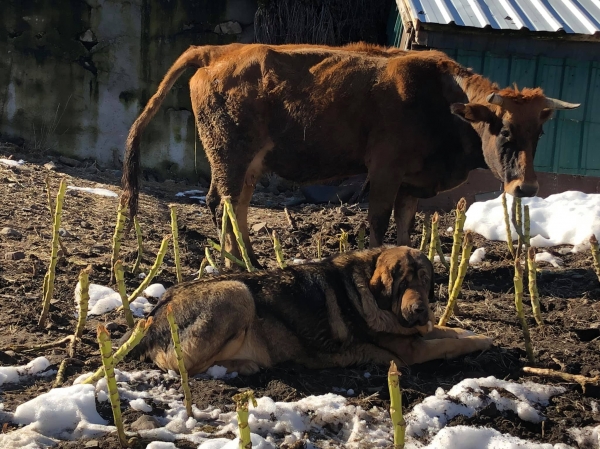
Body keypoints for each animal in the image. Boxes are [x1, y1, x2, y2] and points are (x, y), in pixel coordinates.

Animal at [120, 42, 576, 266]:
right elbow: (377, 221)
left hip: (246, 162)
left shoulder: (412, 183)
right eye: (503, 129)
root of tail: (216, 51)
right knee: (225, 204)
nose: (526, 187)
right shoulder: (385, 170)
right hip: (230, 155)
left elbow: (405, 225)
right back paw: (239, 262)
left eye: (539, 131)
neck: (440, 101)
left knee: (234, 205)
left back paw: (246, 259)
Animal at [127, 245, 492, 374]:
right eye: (400, 283)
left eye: (425, 279)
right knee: (184, 366)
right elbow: (447, 345)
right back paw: (242, 365)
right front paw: (480, 341)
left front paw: (469, 331)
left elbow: (445, 331)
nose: (418, 310)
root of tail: (151, 319)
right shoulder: (412, 351)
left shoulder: (419, 330)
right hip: (236, 292)